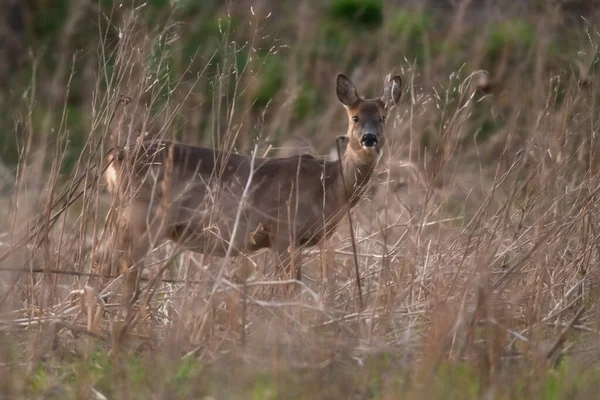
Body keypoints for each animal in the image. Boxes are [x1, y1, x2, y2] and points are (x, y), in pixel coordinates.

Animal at [103, 73, 404, 302]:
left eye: (383, 117)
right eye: (355, 117)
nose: (369, 139)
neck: (328, 186)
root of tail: (115, 158)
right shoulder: (282, 230)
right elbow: (288, 288)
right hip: (142, 215)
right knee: (121, 264)